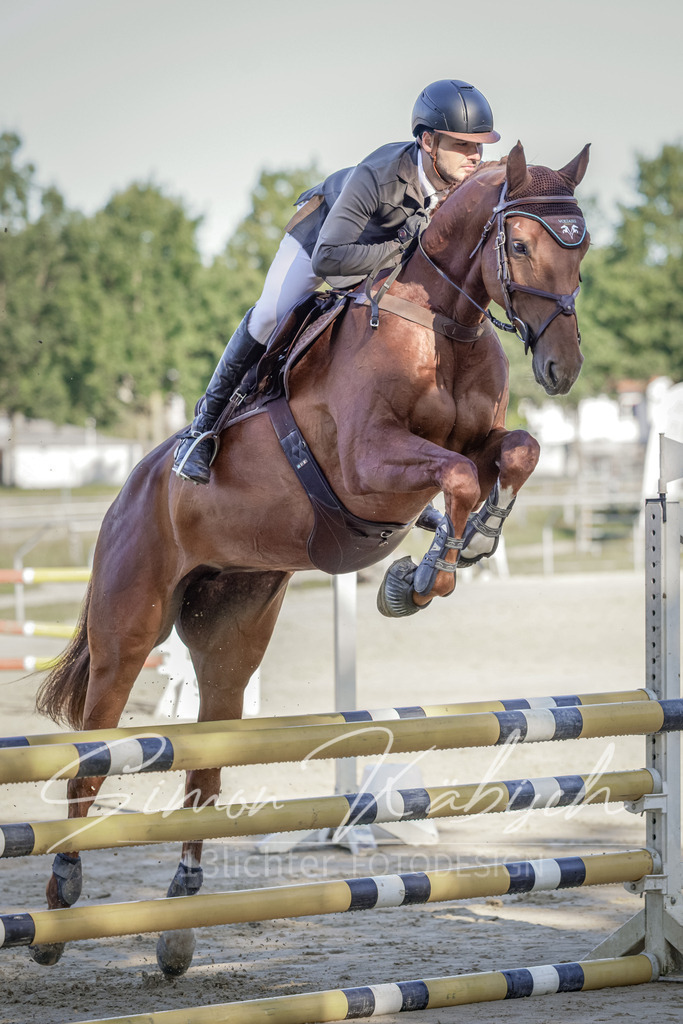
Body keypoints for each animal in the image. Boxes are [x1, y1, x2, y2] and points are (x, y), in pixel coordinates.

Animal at [31, 141, 590, 974]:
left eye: (581, 246)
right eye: (518, 245)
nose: (561, 368)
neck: (443, 325)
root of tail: (132, 485)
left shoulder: (475, 441)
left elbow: (512, 452)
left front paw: (463, 545)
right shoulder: (366, 463)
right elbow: (456, 475)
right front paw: (419, 576)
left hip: (230, 638)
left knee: (204, 769)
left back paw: (177, 927)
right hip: (125, 632)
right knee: (92, 755)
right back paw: (63, 892)